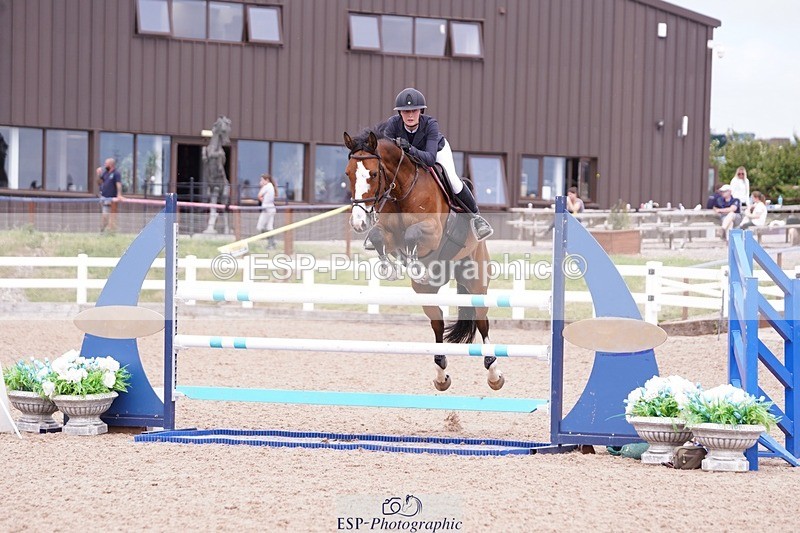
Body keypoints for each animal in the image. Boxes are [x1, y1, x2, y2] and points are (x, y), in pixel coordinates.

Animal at [343, 128, 503, 391]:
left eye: (374, 174)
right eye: (348, 174)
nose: (358, 223)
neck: (400, 191)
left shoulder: (433, 231)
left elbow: (412, 233)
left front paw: (414, 263)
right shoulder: (388, 234)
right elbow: (378, 236)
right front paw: (390, 268)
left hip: (476, 280)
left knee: (482, 321)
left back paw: (494, 372)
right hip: (426, 291)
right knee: (437, 323)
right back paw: (440, 374)